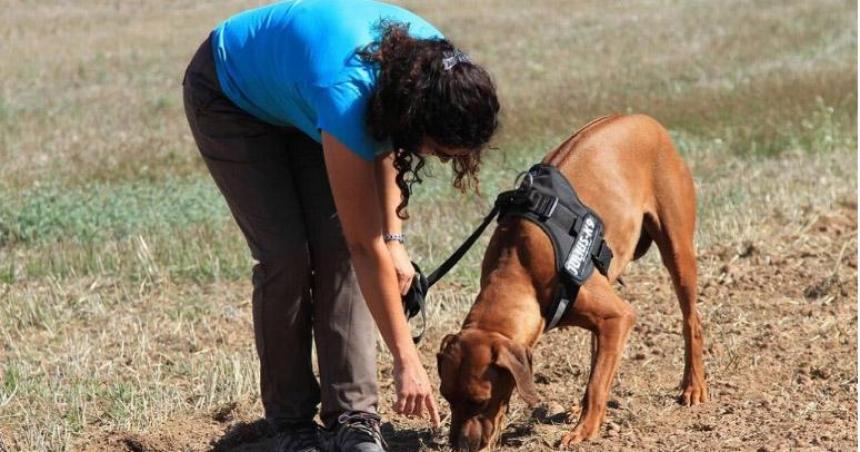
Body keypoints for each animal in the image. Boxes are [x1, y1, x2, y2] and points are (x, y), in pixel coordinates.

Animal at [436, 115, 704, 450]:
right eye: (446, 397)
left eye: (480, 400)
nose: (459, 446)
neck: (519, 268)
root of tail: (646, 119)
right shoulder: (608, 319)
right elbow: (598, 372)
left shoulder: (620, 317)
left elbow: (597, 384)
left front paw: (584, 430)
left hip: (678, 250)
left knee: (691, 322)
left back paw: (693, 387)